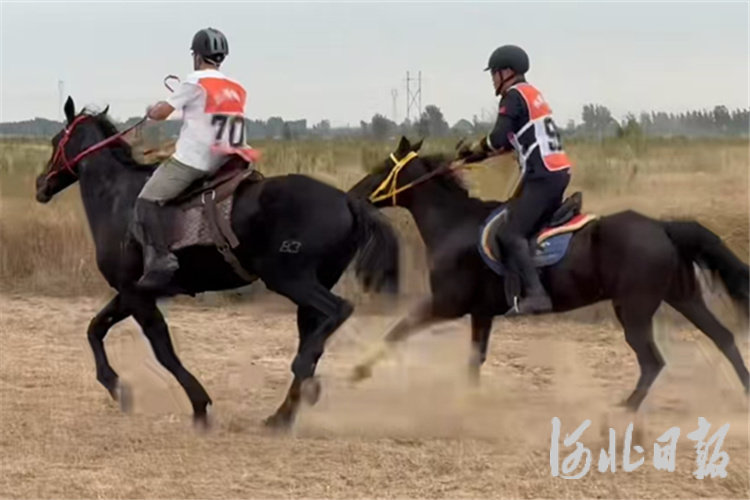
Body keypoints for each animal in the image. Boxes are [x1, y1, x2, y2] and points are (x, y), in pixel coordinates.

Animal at [34, 97, 400, 429]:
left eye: (56, 141)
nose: (41, 185)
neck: (117, 199)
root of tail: (347, 201)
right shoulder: (132, 291)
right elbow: (96, 328)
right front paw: (116, 386)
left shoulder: (135, 293)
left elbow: (161, 349)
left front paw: (198, 405)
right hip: (312, 283)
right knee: (316, 334)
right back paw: (284, 413)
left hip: (290, 279)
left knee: (338, 311)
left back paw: (299, 377)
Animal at [348, 136, 749, 412]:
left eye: (382, 167)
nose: (353, 194)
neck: (454, 224)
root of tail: (662, 228)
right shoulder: (481, 312)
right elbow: (474, 358)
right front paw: (469, 400)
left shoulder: (446, 304)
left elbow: (398, 329)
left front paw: (359, 370)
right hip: (683, 296)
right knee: (724, 338)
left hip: (634, 309)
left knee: (654, 361)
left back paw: (627, 408)